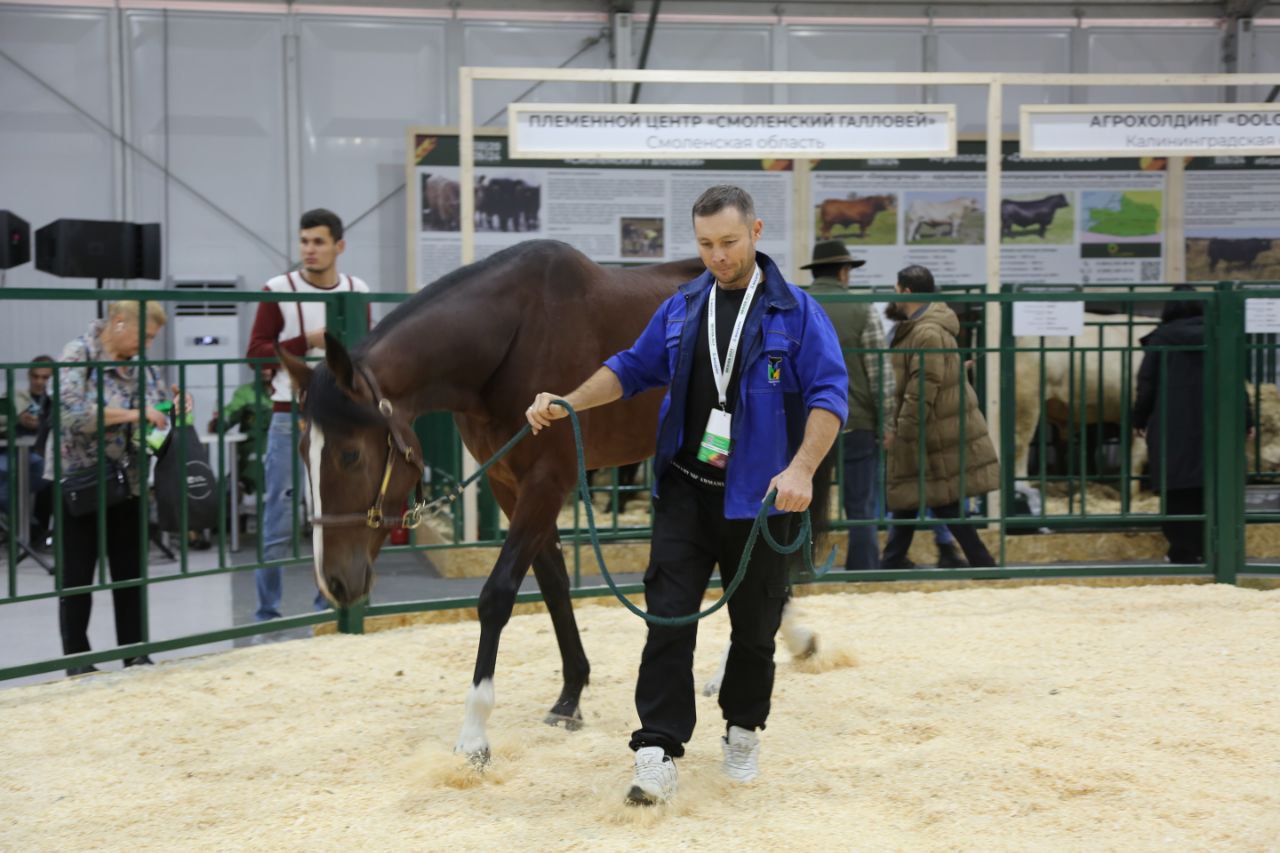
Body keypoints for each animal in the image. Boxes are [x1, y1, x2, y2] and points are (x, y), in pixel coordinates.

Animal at [275, 239, 706, 763]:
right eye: (302, 451)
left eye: (349, 454)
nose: (334, 582)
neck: (516, 338)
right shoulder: (509, 484)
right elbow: (554, 585)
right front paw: (570, 698)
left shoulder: (547, 482)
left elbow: (497, 595)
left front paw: (474, 732)